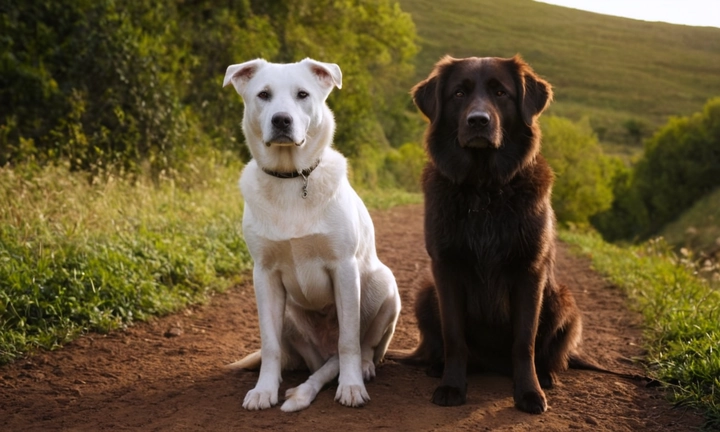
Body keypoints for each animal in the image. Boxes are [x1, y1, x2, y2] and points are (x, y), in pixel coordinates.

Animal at [222, 58, 402, 412]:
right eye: (263, 94)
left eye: (302, 94)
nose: (281, 120)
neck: (292, 177)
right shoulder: (264, 275)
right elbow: (269, 344)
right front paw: (264, 390)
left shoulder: (344, 268)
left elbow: (349, 340)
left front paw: (351, 387)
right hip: (290, 316)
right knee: (317, 363)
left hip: (385, 286)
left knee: (362, 347)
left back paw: (362, 368)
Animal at [402, 55, 584, 414]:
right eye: (459, 93)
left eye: (501, 92)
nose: (478, 121)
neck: (483, 189)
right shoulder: (445, 269)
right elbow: (454, 337)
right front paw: (451, 386)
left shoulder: (530, 272)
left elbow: (524, 342)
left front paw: (529, 392)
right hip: (426, 293)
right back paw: (438, 367)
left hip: (564, 302)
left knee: (548, 353)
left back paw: (547, 376)